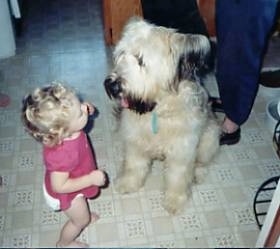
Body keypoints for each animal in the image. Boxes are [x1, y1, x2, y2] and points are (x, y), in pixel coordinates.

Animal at [104, 18, 220, 214]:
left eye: (141, 60)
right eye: (121, 54)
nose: (112, 85)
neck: (156, 112)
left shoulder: (182, 150)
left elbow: (177, 177)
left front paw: (174, 201)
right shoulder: (135, 141)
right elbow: (134, 165)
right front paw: (128, 183)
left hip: (210, 137)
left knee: (203, 162)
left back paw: (198, 173)